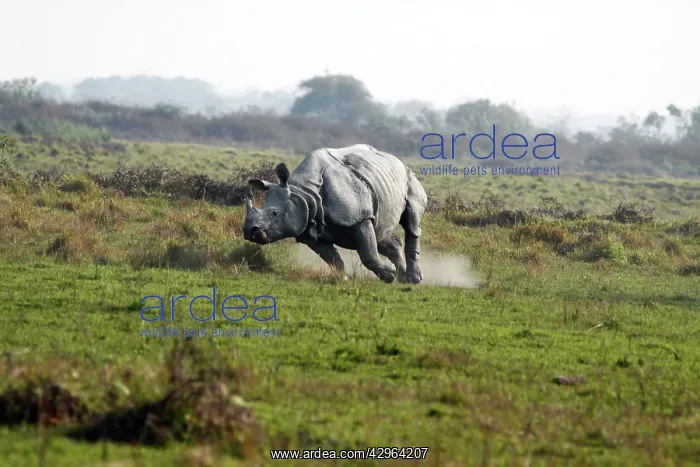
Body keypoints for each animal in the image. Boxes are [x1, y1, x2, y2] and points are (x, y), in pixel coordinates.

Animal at [242, 144, 428, 284]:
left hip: (409, 177)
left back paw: (413, 280)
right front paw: (343, 279)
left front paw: (389, 275)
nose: (249, 230)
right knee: (381, 232)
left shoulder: (359, 216)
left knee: (411, 224)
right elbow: (333, 259)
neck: (303, 194)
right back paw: (402, 278)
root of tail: (396, 158)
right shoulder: (310, 227)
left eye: (274, 213)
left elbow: (368, 253)